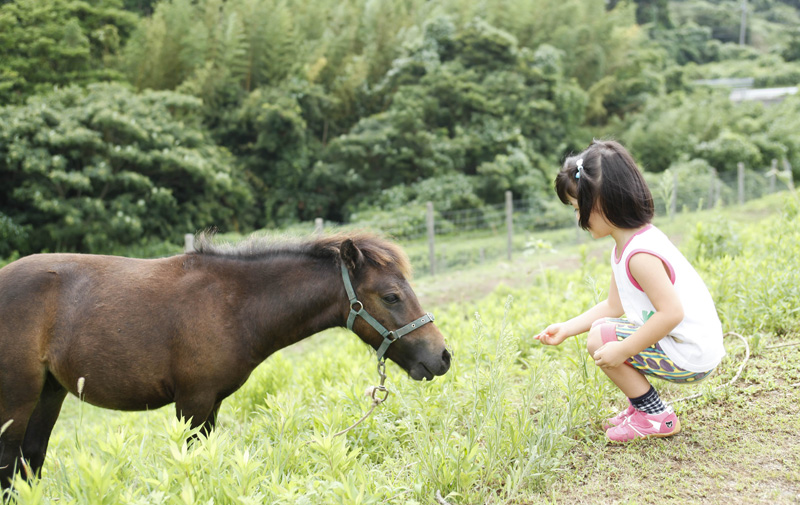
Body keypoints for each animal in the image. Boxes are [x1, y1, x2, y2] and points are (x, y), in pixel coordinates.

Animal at [0, 233, 450, 488]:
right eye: (391, 296)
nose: (441, 357)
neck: (233, 305)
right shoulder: (193, 403)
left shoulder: (211, 404)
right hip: (17, 400)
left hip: (49, 394)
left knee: (29, 462)